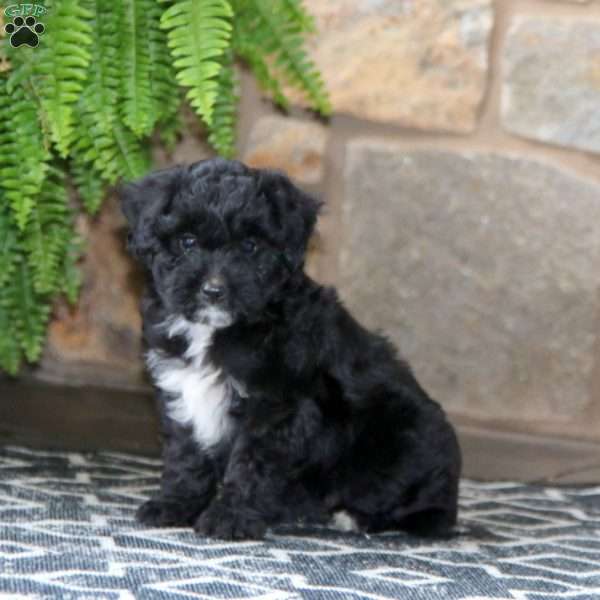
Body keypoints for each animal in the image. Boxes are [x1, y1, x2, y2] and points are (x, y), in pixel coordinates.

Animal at [120, 158, 460, 540]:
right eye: (187, 242)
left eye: (250, 246)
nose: (213, 290)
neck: (219, 330)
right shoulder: (181, 389)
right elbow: (186, 454)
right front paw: (175, 505)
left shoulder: (276, 406)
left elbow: (250, 463)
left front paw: (230, 518)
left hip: (401, 438)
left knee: (416, 508)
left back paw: (353, 517)